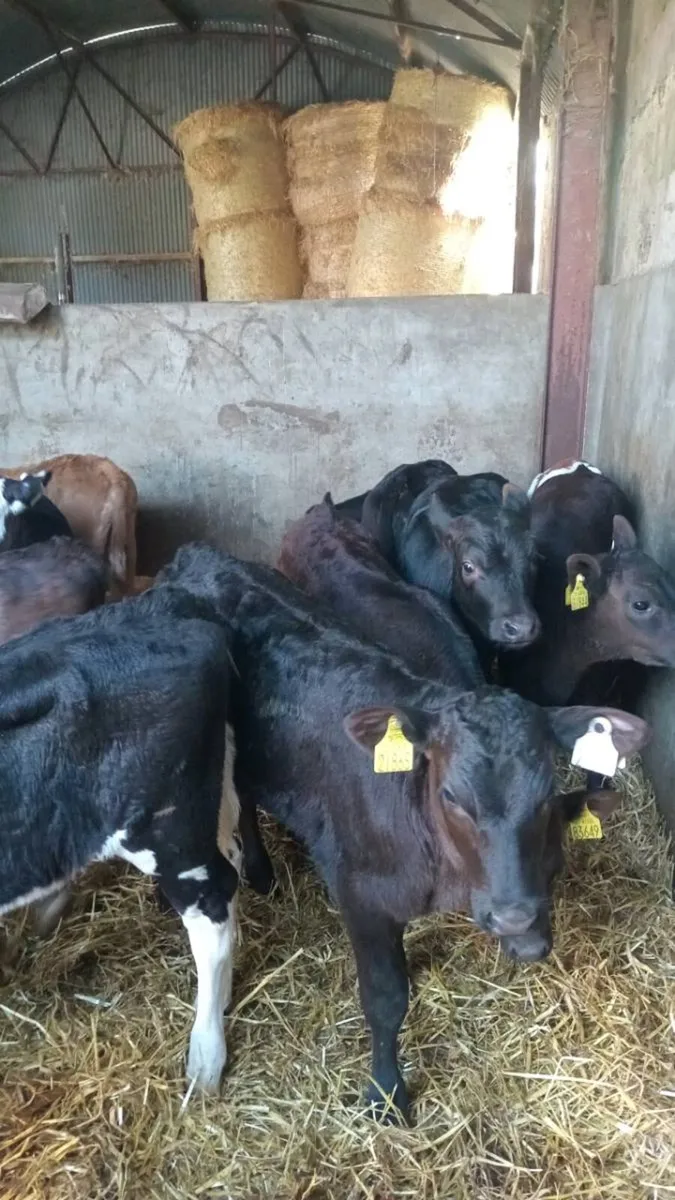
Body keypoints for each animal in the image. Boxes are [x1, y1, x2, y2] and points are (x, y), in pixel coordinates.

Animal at [156, 543, 649, 1122]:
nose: (513, 917)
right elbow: (387, 999)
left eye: (548, 790)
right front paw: (386, 1094)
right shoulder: (360, 894)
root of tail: (195, 554)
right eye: (452, 796)